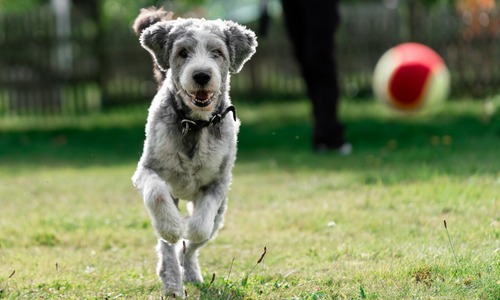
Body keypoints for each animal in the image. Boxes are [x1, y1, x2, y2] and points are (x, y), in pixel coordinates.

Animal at [132, 8, 258, 296]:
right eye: (183, 52)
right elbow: (157, 195)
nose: (201, 75)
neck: (194, 124)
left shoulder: (219, 182)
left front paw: (189, 226)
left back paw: (189, 272)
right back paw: (171, 281)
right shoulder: (147, 170)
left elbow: (200, 227)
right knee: (167, 248)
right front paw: (172, 227)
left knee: (193, 246)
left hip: (220, 215)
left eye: (217, 52)